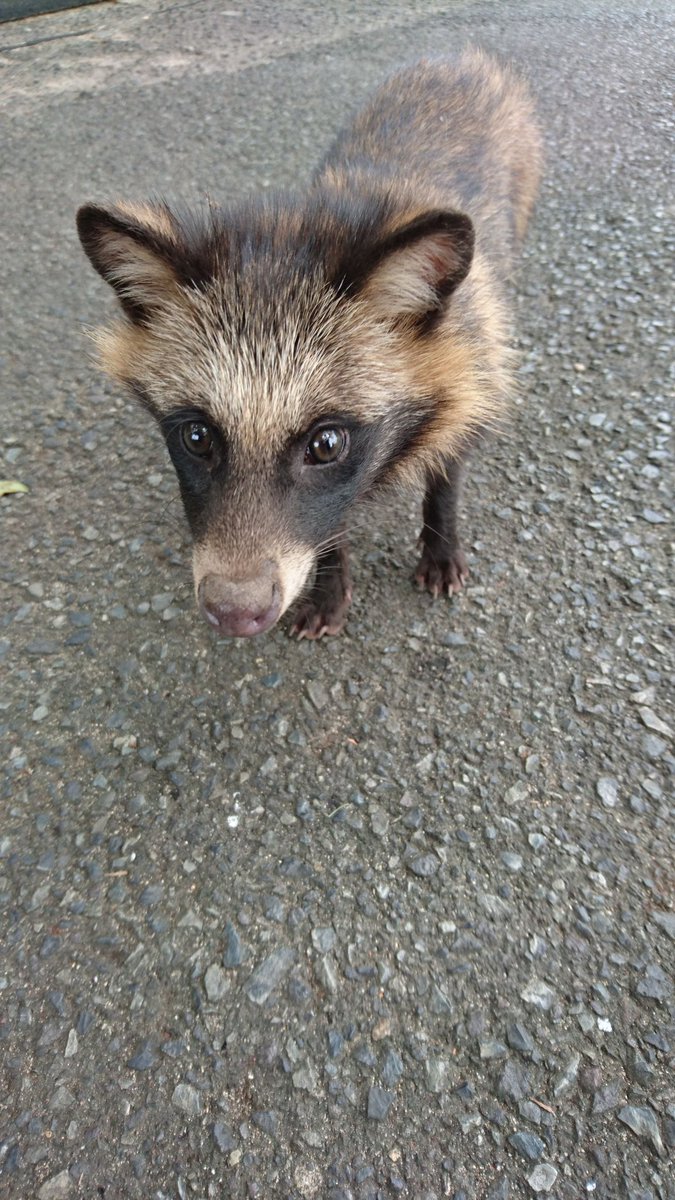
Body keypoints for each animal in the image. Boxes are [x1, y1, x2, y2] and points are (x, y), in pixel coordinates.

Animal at [77, 49, 540, 638]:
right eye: (198, 436)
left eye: (325, 445)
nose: (235, 615)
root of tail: (460, 58)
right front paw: (330, 579)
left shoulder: (474, 353)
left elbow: (450, 466)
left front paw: (440, 537)